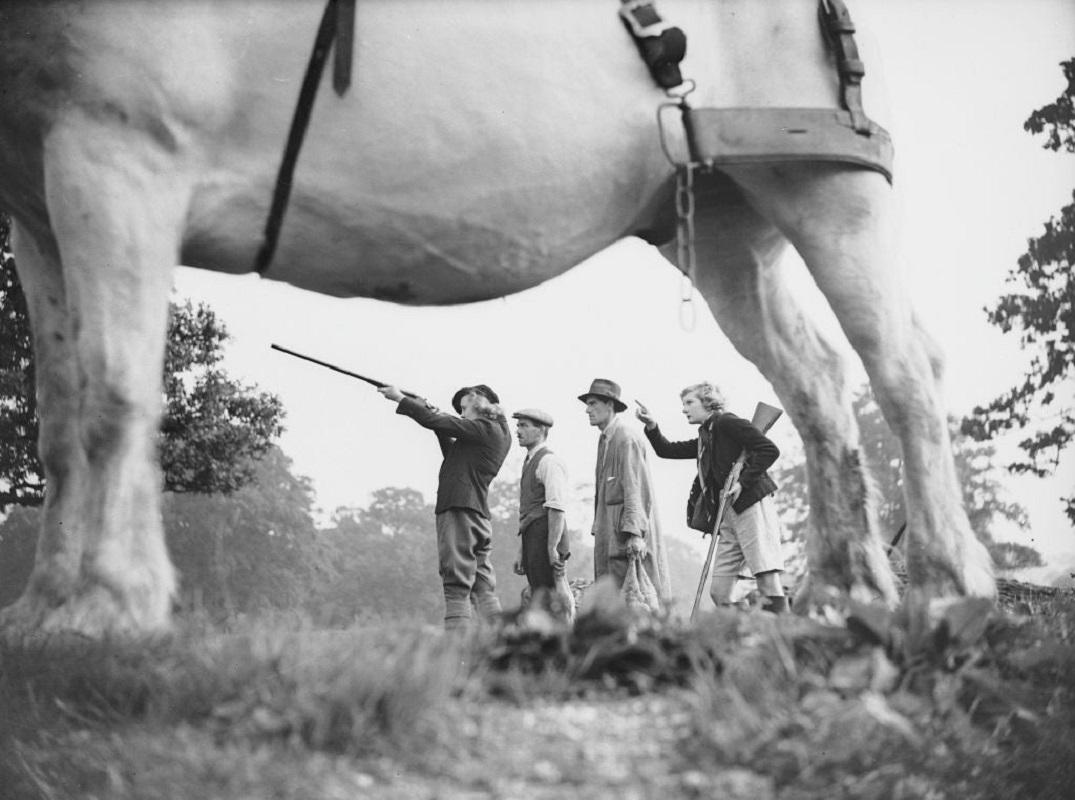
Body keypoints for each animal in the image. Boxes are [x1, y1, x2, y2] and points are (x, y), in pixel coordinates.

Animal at [0, 1, 989, 636]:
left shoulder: (118, 149)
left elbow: (114, 397)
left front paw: (107, 604)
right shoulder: (38, 202)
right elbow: (59, 414)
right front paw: (45, 607)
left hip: (828, 185)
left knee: (900, 364)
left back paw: (944, 580)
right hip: (726, 219)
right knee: (813, 380)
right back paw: (846, 588)